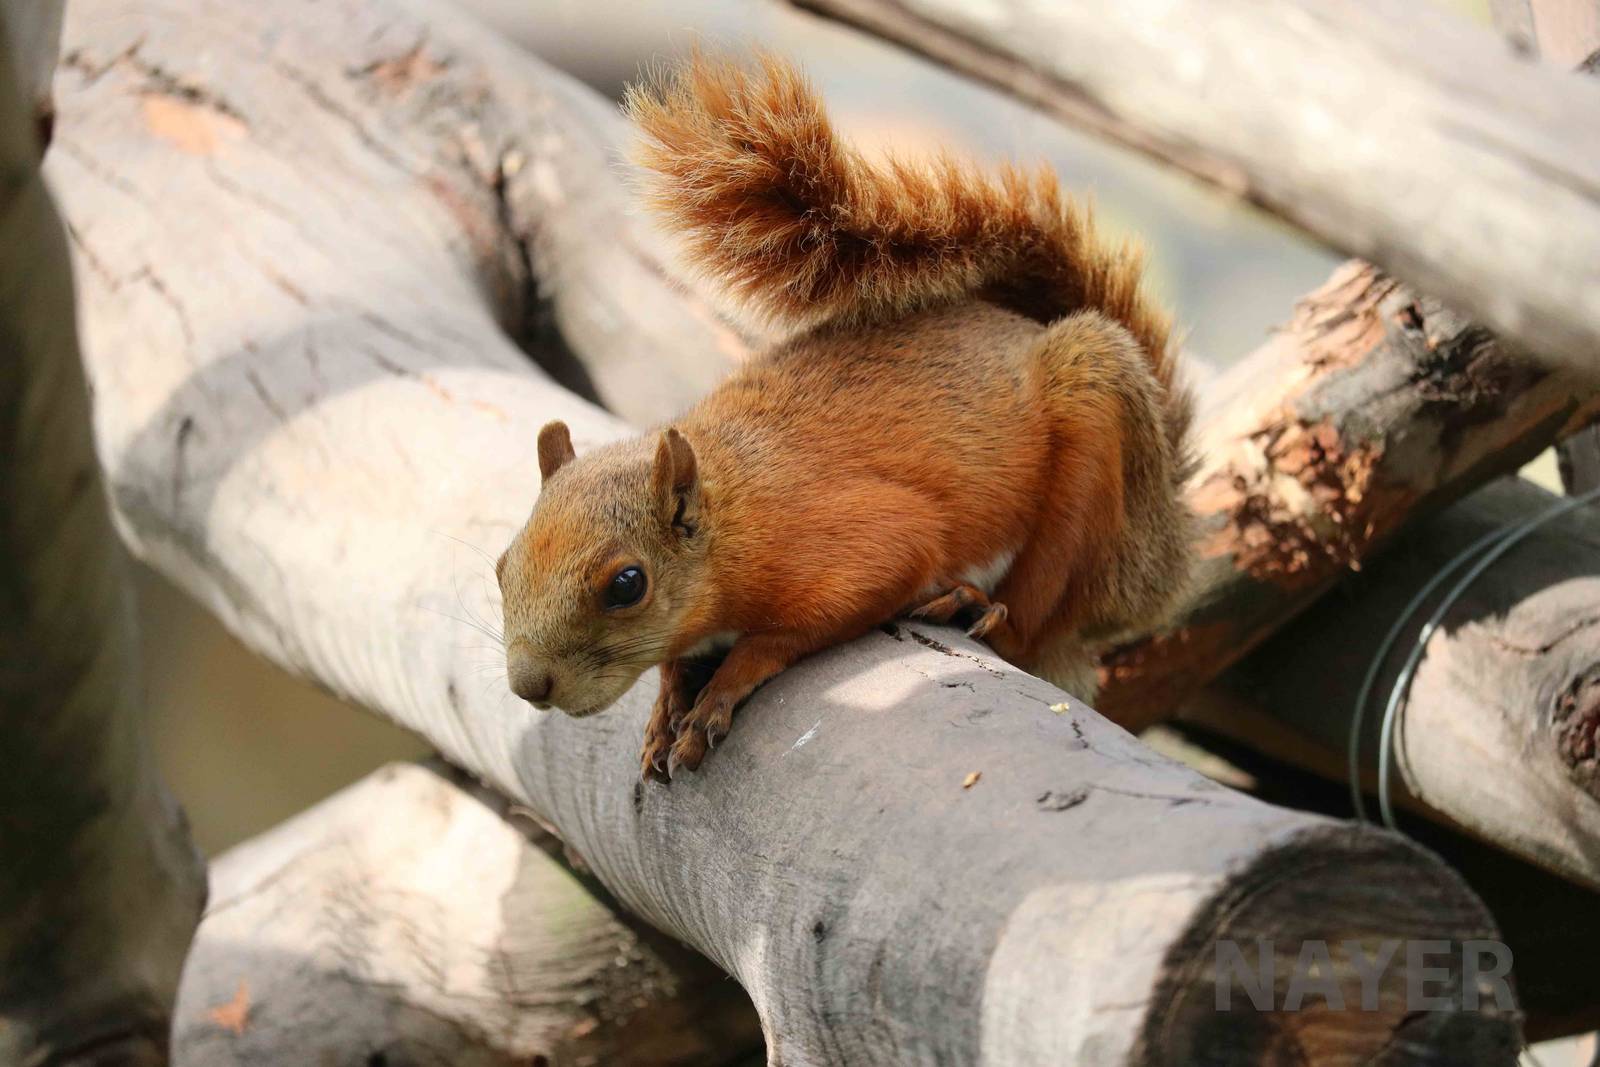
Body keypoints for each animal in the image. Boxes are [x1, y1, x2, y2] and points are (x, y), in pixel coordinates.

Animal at [496, 52, 1196, 782]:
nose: (529, 683)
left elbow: (801, 624)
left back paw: (979, 605)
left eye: (627, 584)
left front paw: (723, 686)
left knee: (1037, 619)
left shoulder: (865, 541)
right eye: (501, 565)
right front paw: (665, 705)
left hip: (1091, 473)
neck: (736, 507)